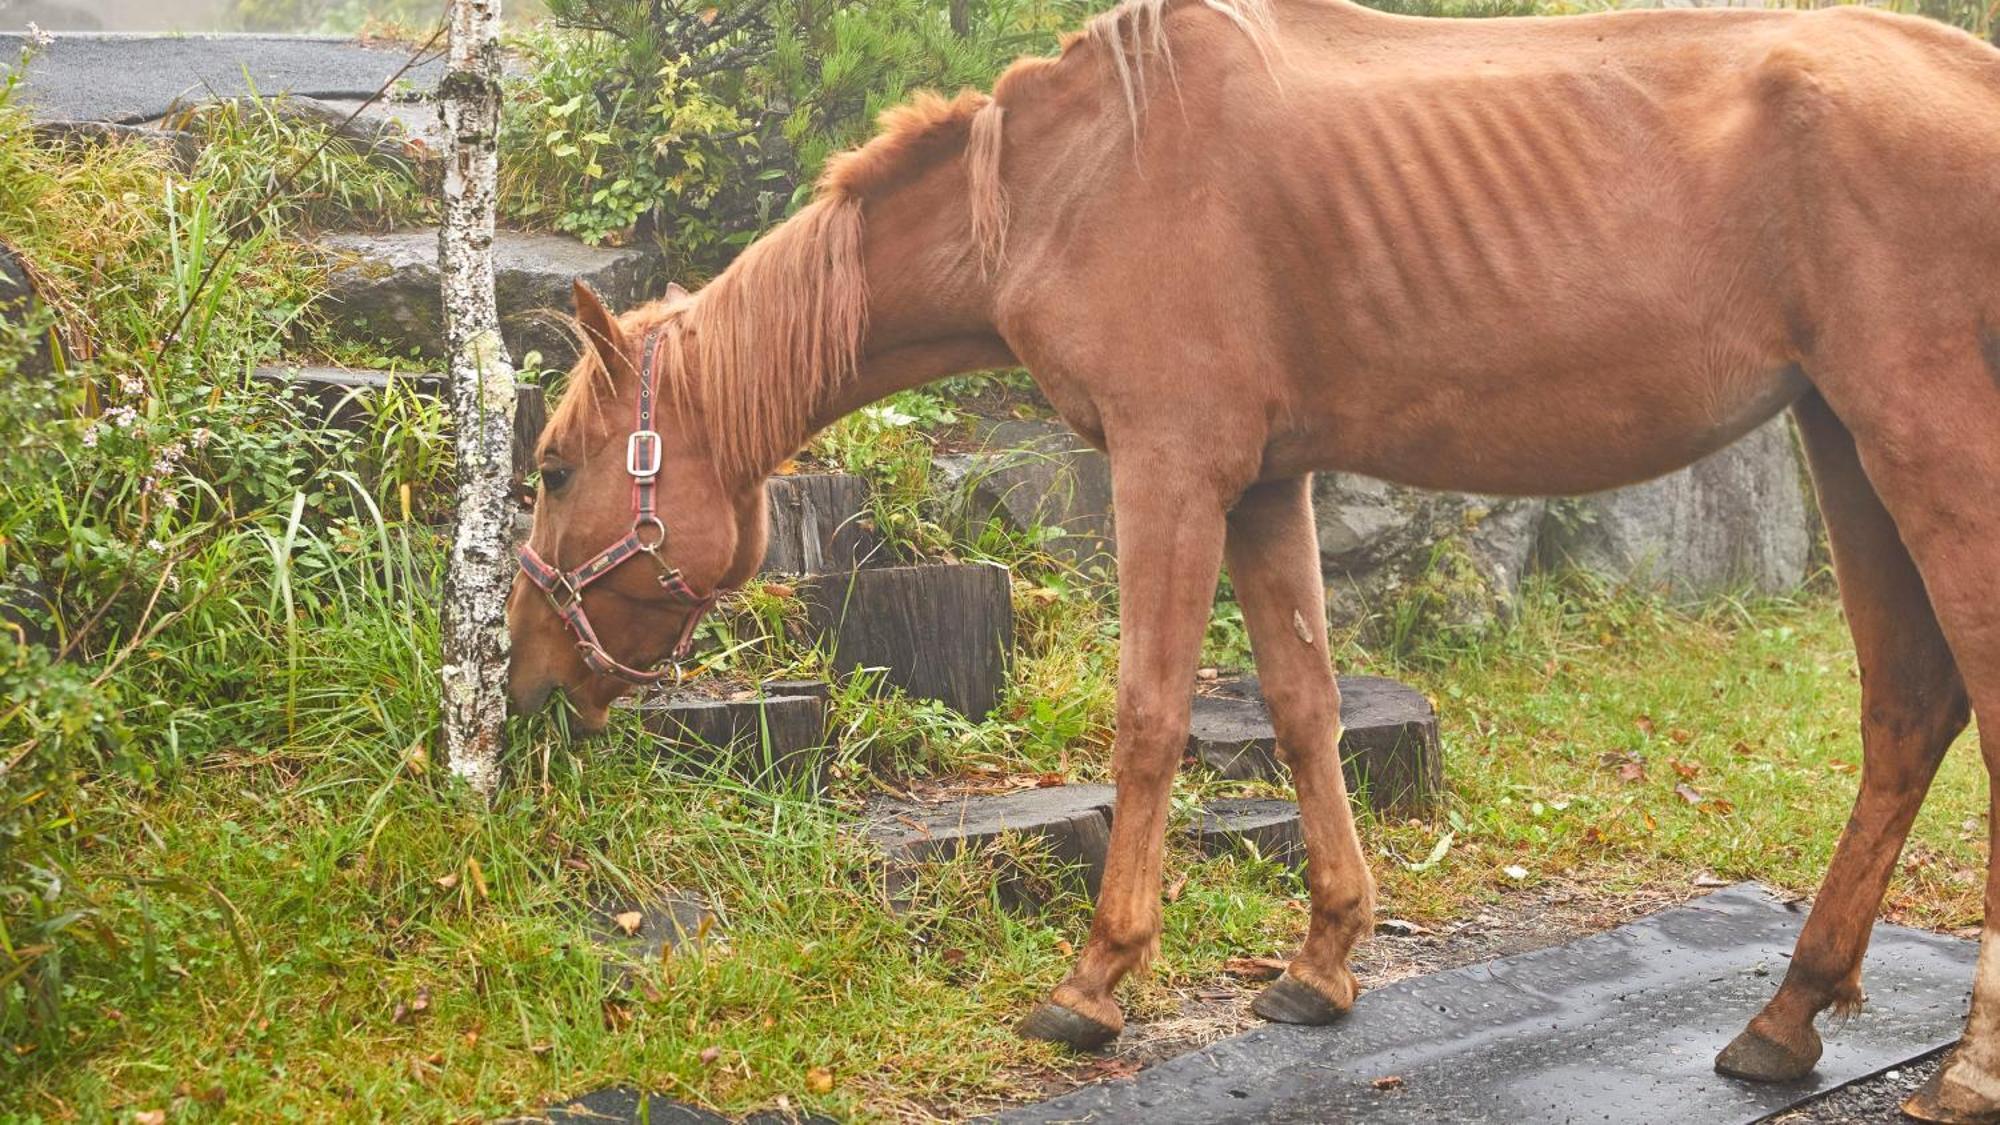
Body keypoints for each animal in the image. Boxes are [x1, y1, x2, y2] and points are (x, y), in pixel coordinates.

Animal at [512, 2, 2000, 1112]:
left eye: (555, 468)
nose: (523, 683)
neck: (1068, 180)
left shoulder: (1170, 469)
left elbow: (1150, 717)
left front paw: (1096, 982)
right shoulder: (1268, 484)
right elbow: (1300, 705)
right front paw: (1324, 959)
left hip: (1921, 440)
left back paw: (1966, 1064)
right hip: (1840, 440)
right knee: (1907, 708)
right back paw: (1786, 1016)